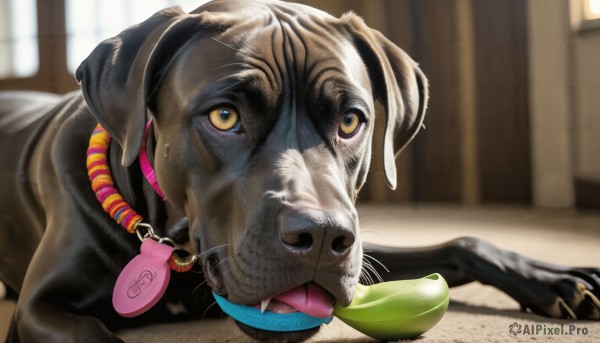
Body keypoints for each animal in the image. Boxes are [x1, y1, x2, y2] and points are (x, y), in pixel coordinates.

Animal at [0, 0, 596, 343]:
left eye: (351, 120)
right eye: (224, 116)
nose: (323, 238)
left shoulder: (361, 245)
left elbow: (464, 241)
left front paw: (558, 278)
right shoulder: (38, 308)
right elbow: (93, 334)